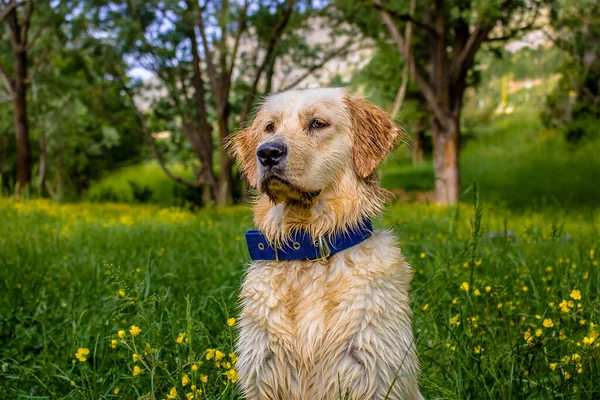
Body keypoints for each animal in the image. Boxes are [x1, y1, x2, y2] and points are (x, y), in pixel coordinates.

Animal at [230, 88, 422, 400]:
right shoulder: (262, 370)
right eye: (269, 127)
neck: (307, 245)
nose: (267, 152)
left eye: (317, 123)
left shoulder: (372, 371)